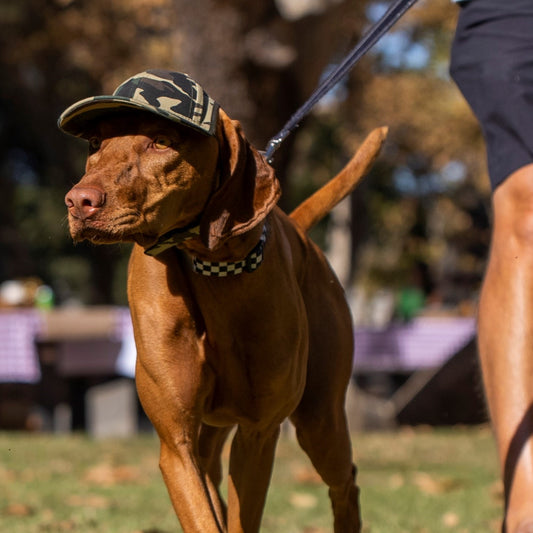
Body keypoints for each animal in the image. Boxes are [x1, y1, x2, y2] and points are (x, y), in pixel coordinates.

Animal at [59, 70, 386, 532]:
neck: (212, 269)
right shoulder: (176, 443)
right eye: (94, 145)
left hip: (321, 420)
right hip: (214, 434)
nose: (78, 202)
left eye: (162, 141)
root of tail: (297, 226)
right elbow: (205, 515)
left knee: (345, 483)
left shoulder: (259, 432)